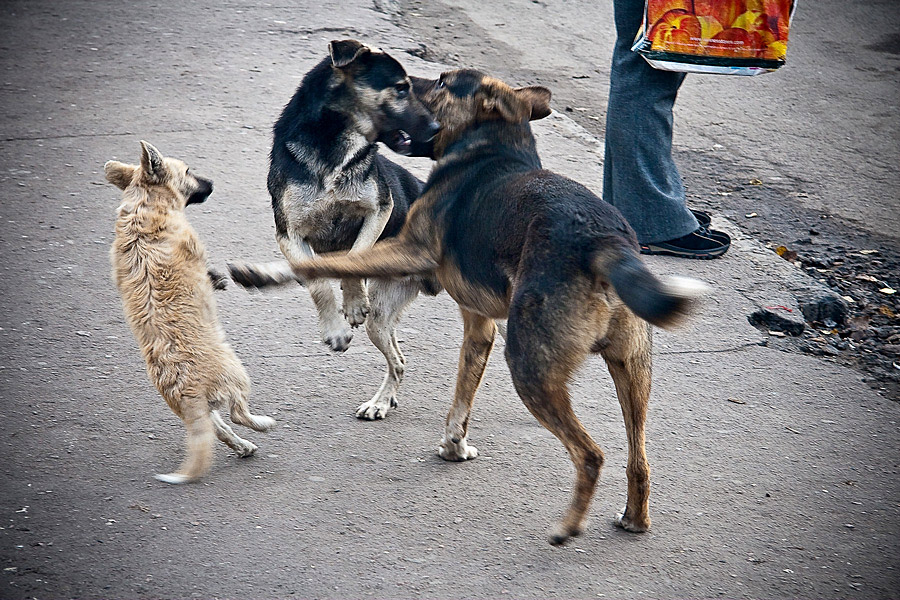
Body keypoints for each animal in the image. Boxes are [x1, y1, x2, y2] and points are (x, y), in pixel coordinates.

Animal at [106, 141, 274, 482]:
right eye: (187, 170)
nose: (212, 183)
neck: (144, 205)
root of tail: (188, 388)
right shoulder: (195, 249)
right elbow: (205, 268)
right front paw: (216, 279)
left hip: (200, 410)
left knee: (217, 429)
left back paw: (243, 446)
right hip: (237, 373)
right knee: (238, 413)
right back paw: (262, 424)